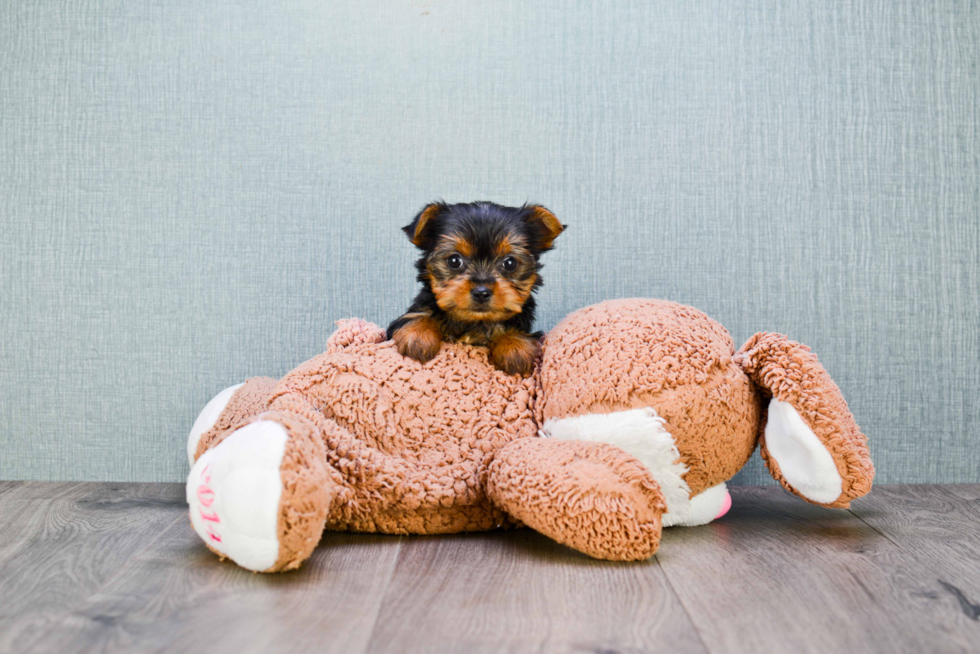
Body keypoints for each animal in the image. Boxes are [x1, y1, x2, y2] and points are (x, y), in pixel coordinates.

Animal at [386, 200, 564, 376]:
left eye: (510, 263)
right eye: (454, 260)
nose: (481, 293)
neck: (475, 322)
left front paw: (514, 347)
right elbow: (418, 315)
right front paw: (418, 335)